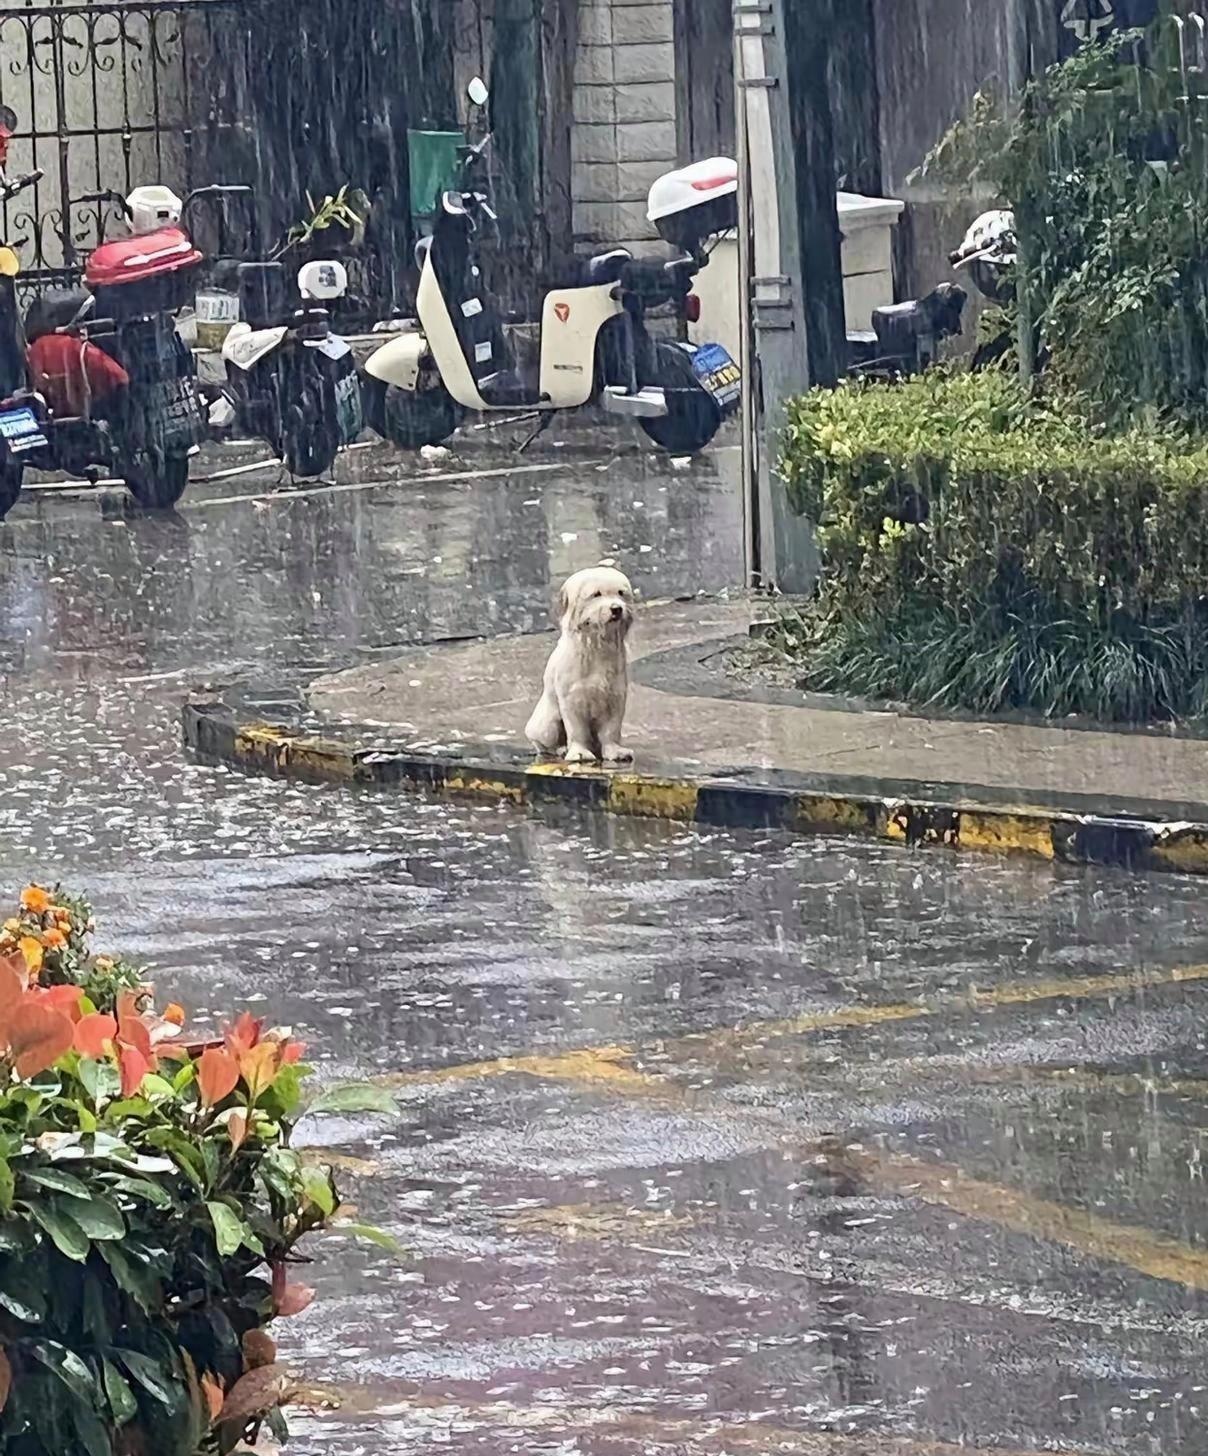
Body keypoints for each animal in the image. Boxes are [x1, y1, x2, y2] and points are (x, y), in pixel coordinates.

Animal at [529, 564, 643, 768]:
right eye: (596, 594)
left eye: (621, 593)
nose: (616, 609)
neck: (596, 645)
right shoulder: (572, 698)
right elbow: (576, 728)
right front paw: (579, 752)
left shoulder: (614, 696)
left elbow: (611, 729)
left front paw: (614, 751)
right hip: (547, 723)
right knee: (544, 742)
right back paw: (560, 749)